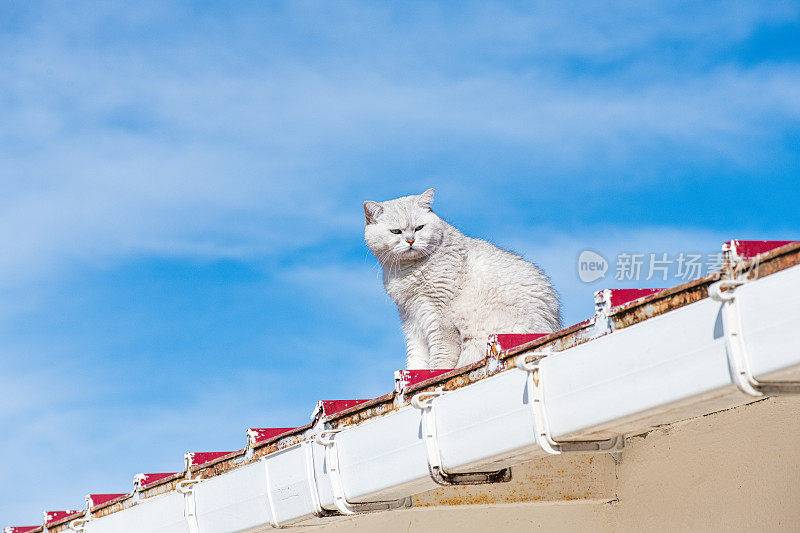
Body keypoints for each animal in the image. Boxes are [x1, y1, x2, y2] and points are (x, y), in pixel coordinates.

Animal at [364, 189, 564, 368]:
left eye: (419, 228)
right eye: (395, 231)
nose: (411, 241)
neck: (407, 270)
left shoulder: (439, 318)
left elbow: (440, 359)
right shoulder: (411, 318)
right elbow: (416, 360)